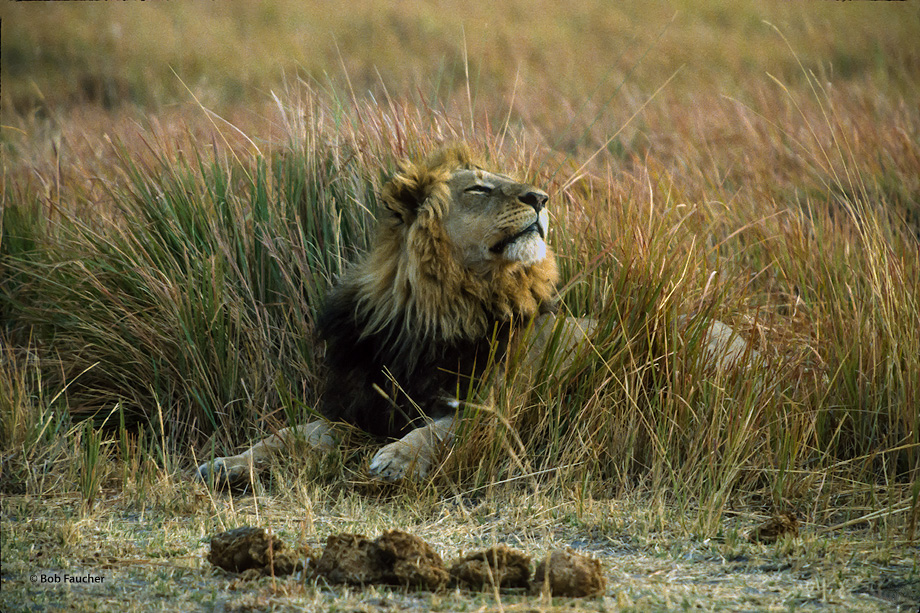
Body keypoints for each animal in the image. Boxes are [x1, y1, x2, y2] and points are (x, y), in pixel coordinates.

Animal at [198, 146, 592, 486]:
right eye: (478, 188)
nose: (541, 198)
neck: (435, 311)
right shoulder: (360, 411)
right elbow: (287, 434)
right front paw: (229, 463)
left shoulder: (497, 407)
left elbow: (437, 429)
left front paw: (398, 459)